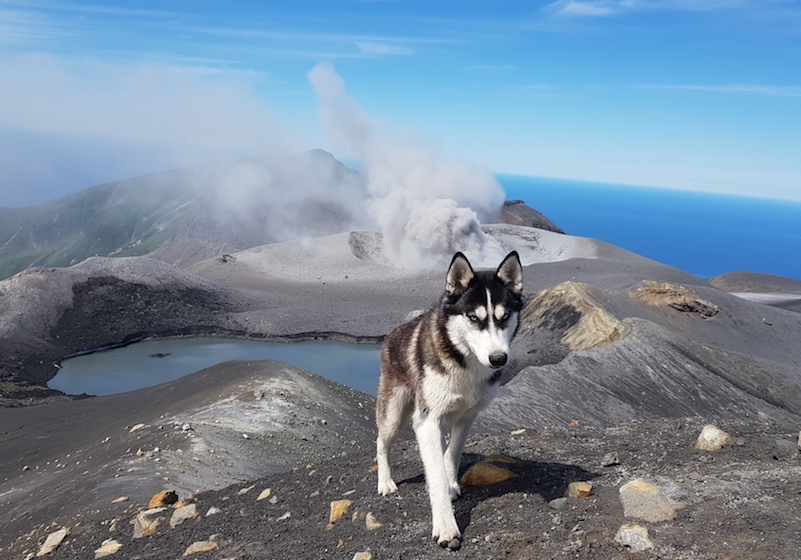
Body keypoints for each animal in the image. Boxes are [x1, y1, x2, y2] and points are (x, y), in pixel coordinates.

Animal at [376, 252, 524, 548]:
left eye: (504, 316)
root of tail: (391, 336)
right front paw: (446, 526)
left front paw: (450, 483)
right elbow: (435, 474)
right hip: (394, 413)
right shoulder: (427, 421)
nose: (498, 359)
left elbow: (452, 454)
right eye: (473, 317)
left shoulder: (467, 417)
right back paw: (385, 483)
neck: (465, 360)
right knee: (381, 442)